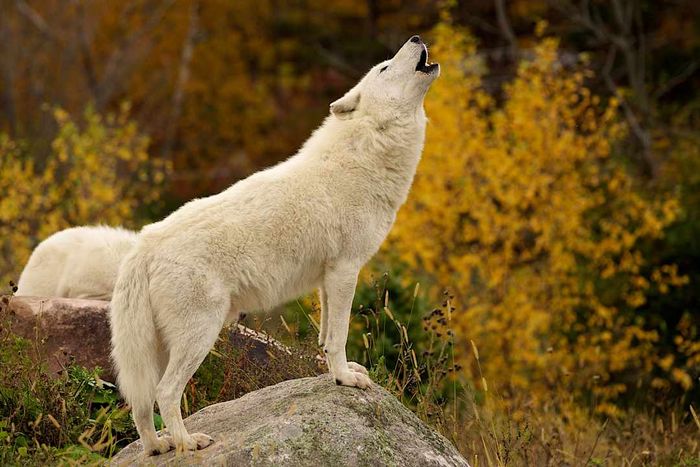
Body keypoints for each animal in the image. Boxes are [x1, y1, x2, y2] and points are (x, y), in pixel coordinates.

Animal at [110, 35, 439, 455]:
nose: (416, 38)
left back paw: (158, 447)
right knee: (165, 393)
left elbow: (324, 337)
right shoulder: (345, 269)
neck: (364, 155)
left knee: (139, 401)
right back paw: (188, 442)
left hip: (155, 348)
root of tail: (143, 244)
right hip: (200, 334)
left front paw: (337, 373)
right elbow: (340, 337)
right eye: (384, 67)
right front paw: (345, 379)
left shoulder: (328, 279)